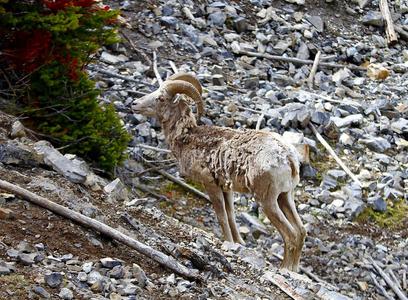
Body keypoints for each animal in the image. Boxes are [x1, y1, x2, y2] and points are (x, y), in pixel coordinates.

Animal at [133, 72, 306, 272]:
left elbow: (221, 216)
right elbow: (231, 215)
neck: (187, 138)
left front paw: (228, 243)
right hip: (285, 196)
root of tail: (288, 157)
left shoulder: (211, 185)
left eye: (160, 98)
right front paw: (238, 243)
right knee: (301, 231)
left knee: (290, 235)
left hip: (267, 201)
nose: (134, 104)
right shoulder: (226, 188)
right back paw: (293, 269)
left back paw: (285, 269)